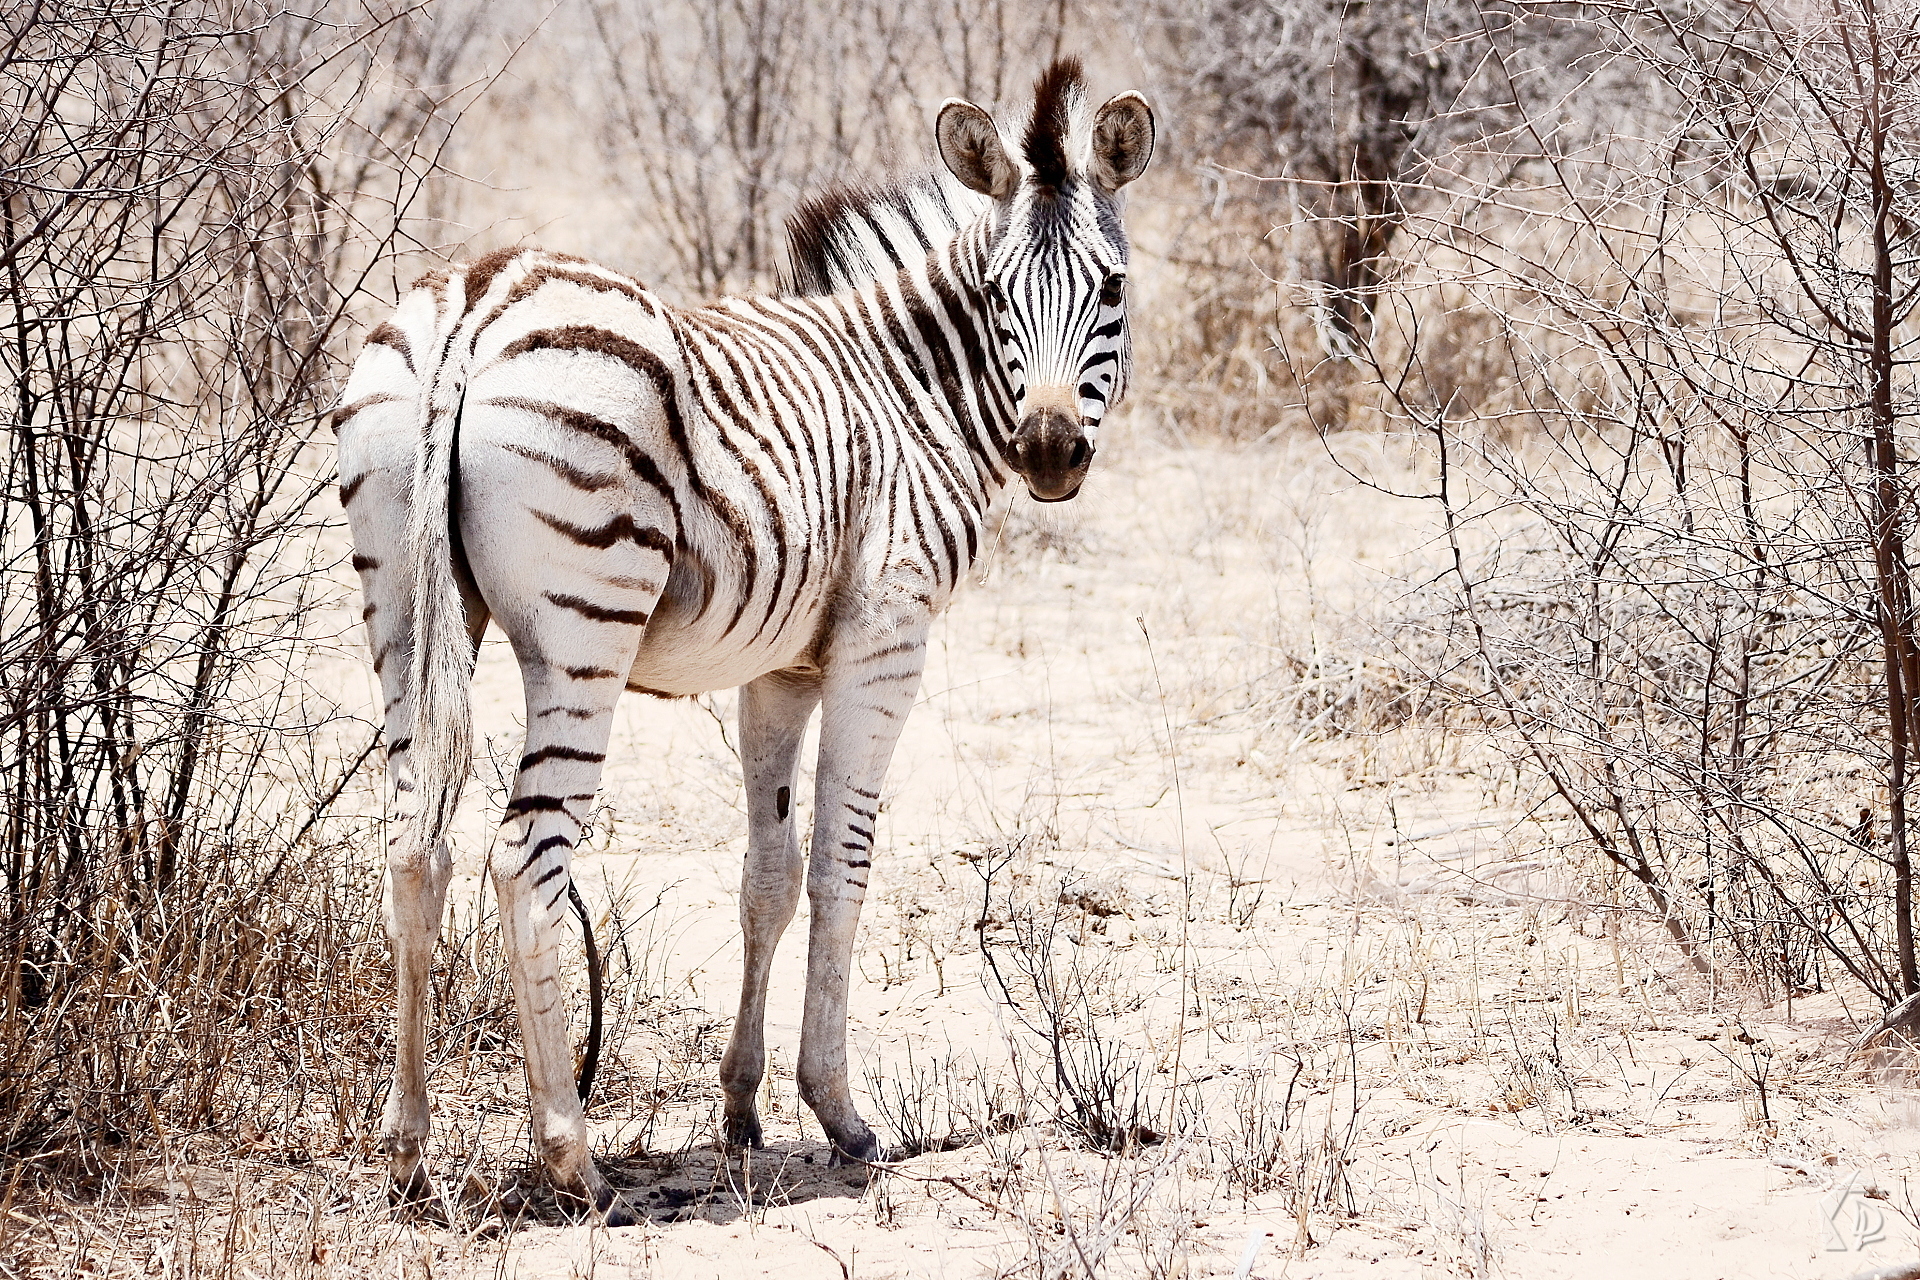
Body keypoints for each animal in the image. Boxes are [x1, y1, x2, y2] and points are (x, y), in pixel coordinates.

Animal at [334, 58, 1153, 1223]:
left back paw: (406, 1153)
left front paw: (742, 1107)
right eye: (1000, 297)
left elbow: (768, 871)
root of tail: (476, 303)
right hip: (583, 632)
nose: (1046, 452)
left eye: (1110, 290)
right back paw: (573, 1158)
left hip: (401, 610)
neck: (912, 392)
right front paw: (842, 1114)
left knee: (414, 843)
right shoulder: (884, 640)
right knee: (524, 856)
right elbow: (842, 867)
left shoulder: (780, 670)